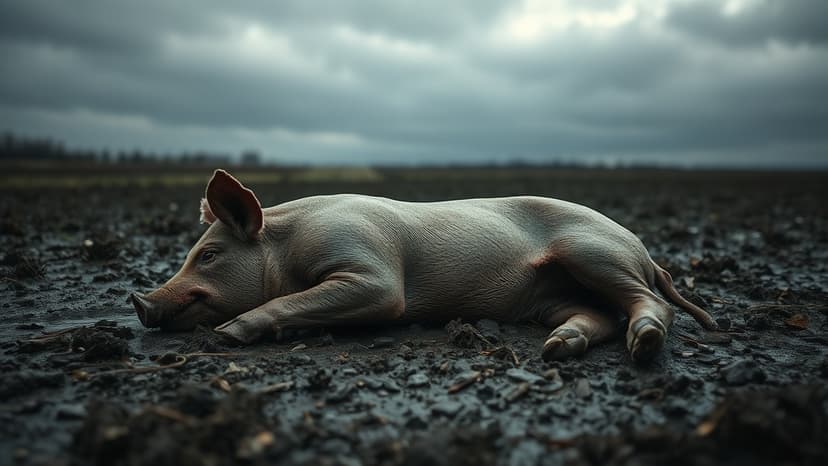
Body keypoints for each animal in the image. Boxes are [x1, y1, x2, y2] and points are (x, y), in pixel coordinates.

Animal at [132, 169, 717, 362]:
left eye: (209, 255)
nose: (140, 302)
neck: (287, 245)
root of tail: (643, 249)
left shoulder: (374, 274)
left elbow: (295, 299)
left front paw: (226, 336)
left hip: (594, 251)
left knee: (652, 304)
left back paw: (643, 345)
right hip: (549, 296)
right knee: (597, 316)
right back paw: (555, 350)